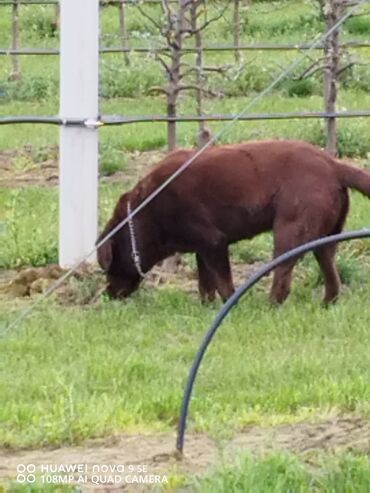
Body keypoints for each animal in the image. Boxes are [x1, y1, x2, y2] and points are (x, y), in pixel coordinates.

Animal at [97, 139, 370, 304]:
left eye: (108, 268)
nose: (108, 294)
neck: (142, 215)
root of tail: (333, 164)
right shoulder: (201, 248)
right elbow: (205, 282)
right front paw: (206, 306)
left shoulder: (214, 241)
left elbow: (223, 284)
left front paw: (229, 306)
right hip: (326, 235)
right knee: (331, 272)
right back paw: (326, 304)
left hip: (290, 229)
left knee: (283, 274)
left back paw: (270, 306)